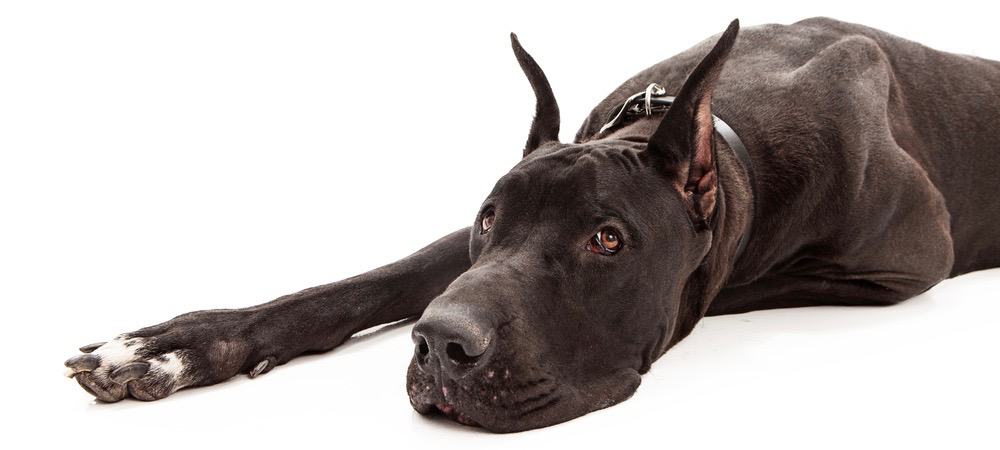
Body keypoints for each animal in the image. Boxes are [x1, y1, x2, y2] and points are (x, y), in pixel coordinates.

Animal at [64, 18, 1000, 432]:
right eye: (489, 219)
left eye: (607, 240)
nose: (442, 344)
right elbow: (372, 282)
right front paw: (170, 346)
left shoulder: (907, 262)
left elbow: (727, 285)